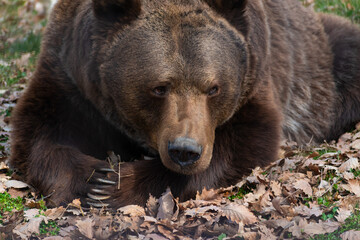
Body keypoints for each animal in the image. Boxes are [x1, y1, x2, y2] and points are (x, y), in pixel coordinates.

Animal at [8, 0, 360, 207]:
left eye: (214, 87)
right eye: (159, 87)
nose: (185, 151)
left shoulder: (255, 77)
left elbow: (245, 143)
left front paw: (116, 185)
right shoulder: (70, 76)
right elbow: (41, 132)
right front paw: (94, 178)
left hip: (320, 65)